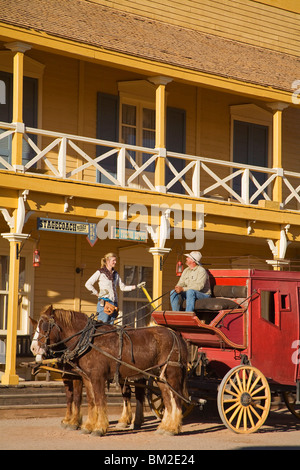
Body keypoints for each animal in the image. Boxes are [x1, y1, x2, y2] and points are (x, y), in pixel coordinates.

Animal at [29, 306, 188, 436]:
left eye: (44, 326)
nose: (33, 348)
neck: (88, 341)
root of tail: (176, 335)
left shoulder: (97, 377)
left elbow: (99, 401)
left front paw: (99, 428)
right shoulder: (87, 378)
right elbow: (91, 401)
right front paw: (88, 426)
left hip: (172, 373)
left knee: (176, 399)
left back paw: (173, 428)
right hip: (159, 376)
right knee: (166, 398)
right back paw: (165, 426)